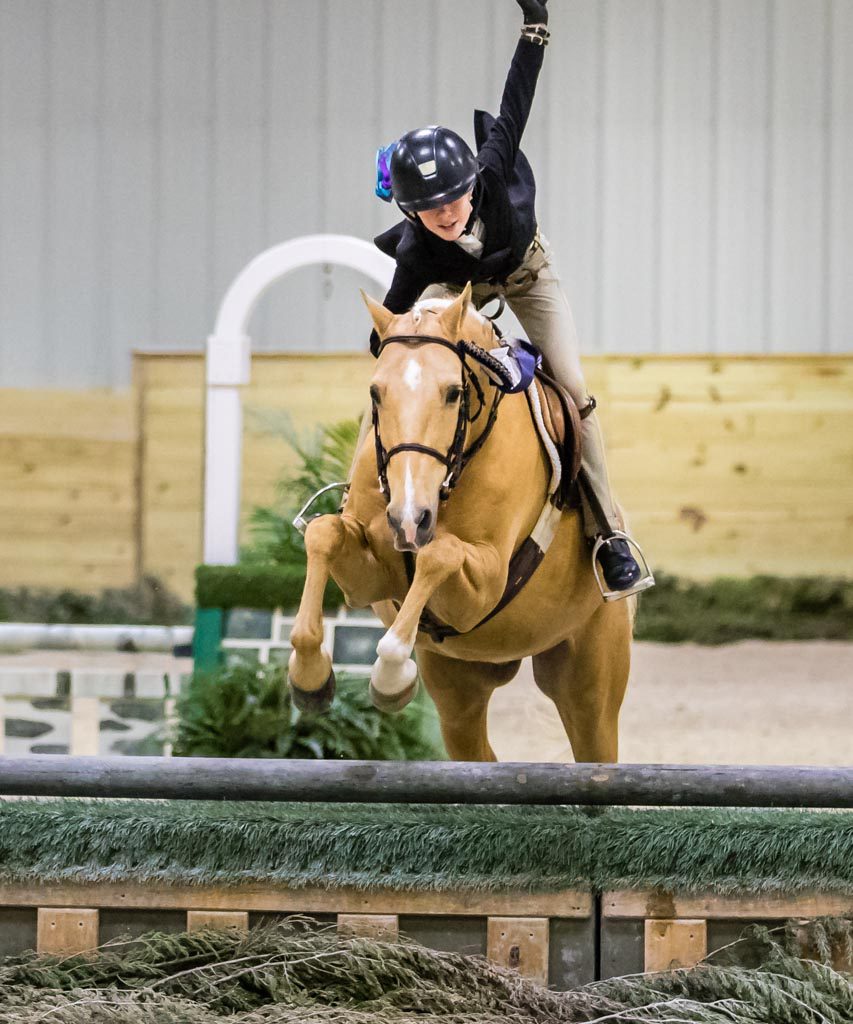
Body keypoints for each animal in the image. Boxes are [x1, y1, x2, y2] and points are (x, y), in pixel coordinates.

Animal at [288, 284, 630, 765]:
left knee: (594, 740)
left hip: (588, 683)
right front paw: (309, 676)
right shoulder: (370, 577)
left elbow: (438, 554)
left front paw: (390, 675)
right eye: (375, 393)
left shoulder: (486, 584)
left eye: (453, 393)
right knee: (477, 752)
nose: (409, 519)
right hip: (459, 687)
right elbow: (324, 534)